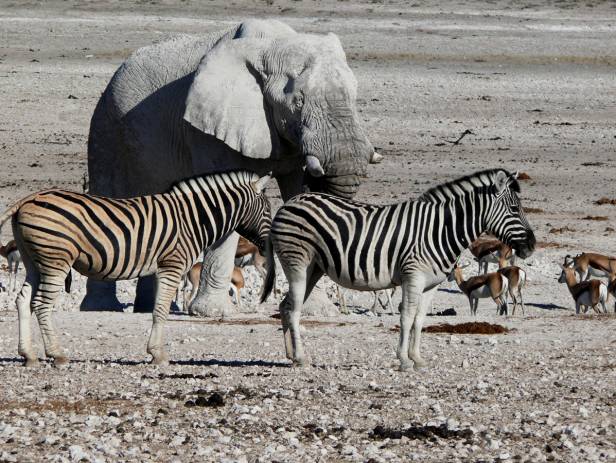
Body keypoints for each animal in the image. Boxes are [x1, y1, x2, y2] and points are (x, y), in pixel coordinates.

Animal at [0, 169, 270, 368]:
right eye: (268, 210)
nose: (268, 247)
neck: (193, 219)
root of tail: (28, 198)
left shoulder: (162, 268)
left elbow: (158, 307)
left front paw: (155, 351)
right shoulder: (172, 264)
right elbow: (161, 310)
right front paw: (158, 355)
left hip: (34, 260)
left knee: (23, 300)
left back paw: (28, 355)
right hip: (55, 260)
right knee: (41, 305)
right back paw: (57, 355)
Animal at [83, 18, 372, 318]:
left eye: (354, 93)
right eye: (298, 101)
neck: (274, 45)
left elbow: (295, 193)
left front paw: (315, 310)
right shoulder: (210, 129)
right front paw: (211, 313)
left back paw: (147, 308)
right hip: (105, 124)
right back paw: (100, 308)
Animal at [260, 169, 536, 370]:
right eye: (514, 209)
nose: (532, 245)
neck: (441, 229)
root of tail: (289, 203)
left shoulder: (431, 284)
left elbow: (419, 319)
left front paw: (417, 358)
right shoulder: (413, 276)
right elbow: (406, 316)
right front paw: (403, 360)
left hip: (313, 269)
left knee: (285, 306)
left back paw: (291, 355)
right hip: (298, 263)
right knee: (294, 309)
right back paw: (301, 358)